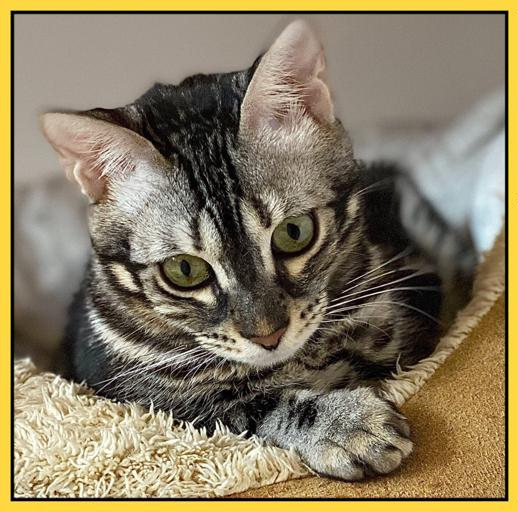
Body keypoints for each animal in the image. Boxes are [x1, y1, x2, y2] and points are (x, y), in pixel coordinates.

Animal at [40, 20, 474, 480]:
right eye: (185, 270)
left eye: (294, 233)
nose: (268, 336)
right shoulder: (148, 402)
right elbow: (249, 406)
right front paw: (345, 423)